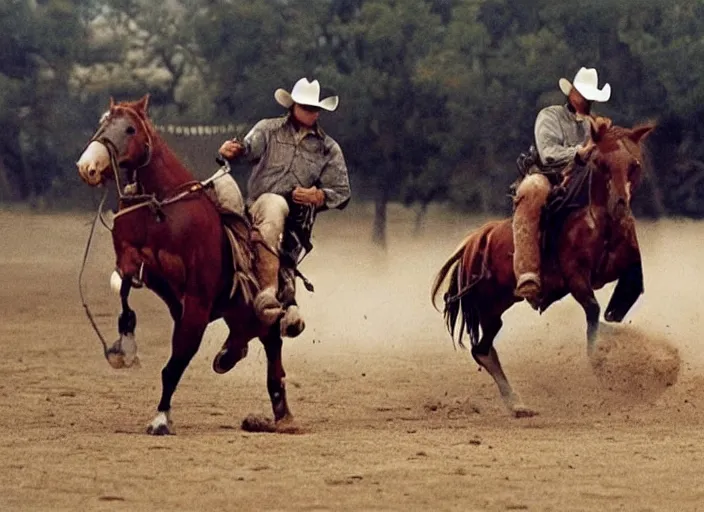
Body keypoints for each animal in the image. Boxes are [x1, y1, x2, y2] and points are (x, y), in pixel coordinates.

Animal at [76, 94, 294, 434]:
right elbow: (124, 286)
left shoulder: (196, 299)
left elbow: (177, 360)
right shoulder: (138, 263)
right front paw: (123, 348)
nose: (88, 167)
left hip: (258, 310)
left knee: (272, 349)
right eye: (102, 123)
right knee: (242, 337)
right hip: (235, 312)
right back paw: (229, 355)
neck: (161, 208)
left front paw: (160, 419)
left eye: (129, 129)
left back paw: (282, 414)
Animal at [432, 118, 656, 418]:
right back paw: (516, 403)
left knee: (484, 349)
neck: (599, 223)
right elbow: (593, 310)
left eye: (634, 164)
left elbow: (623, 295)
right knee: (481, 350)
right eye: (601, 163)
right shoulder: (576, 278)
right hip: (488, 307)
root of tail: (477, 240)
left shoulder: (627, 266)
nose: (620, 204)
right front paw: (598, 358)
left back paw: (517, 403)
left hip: (496, 308)